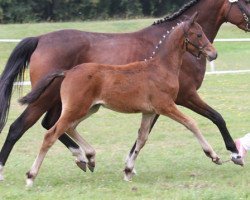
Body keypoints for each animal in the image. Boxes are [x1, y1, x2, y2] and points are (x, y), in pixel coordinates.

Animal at [20, 13, 218, 187]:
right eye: (199, 34)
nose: (213, 53)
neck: (161, 67)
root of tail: (67, 72)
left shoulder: (149, 111)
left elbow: (142, 138)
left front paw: (128, 171)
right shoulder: (166, 106)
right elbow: (191, 123)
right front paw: (214, 155)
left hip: (89, 108)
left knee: (69, 127)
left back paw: (90, 157)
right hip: (76, 108)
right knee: (51, 134)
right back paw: (31, 177)